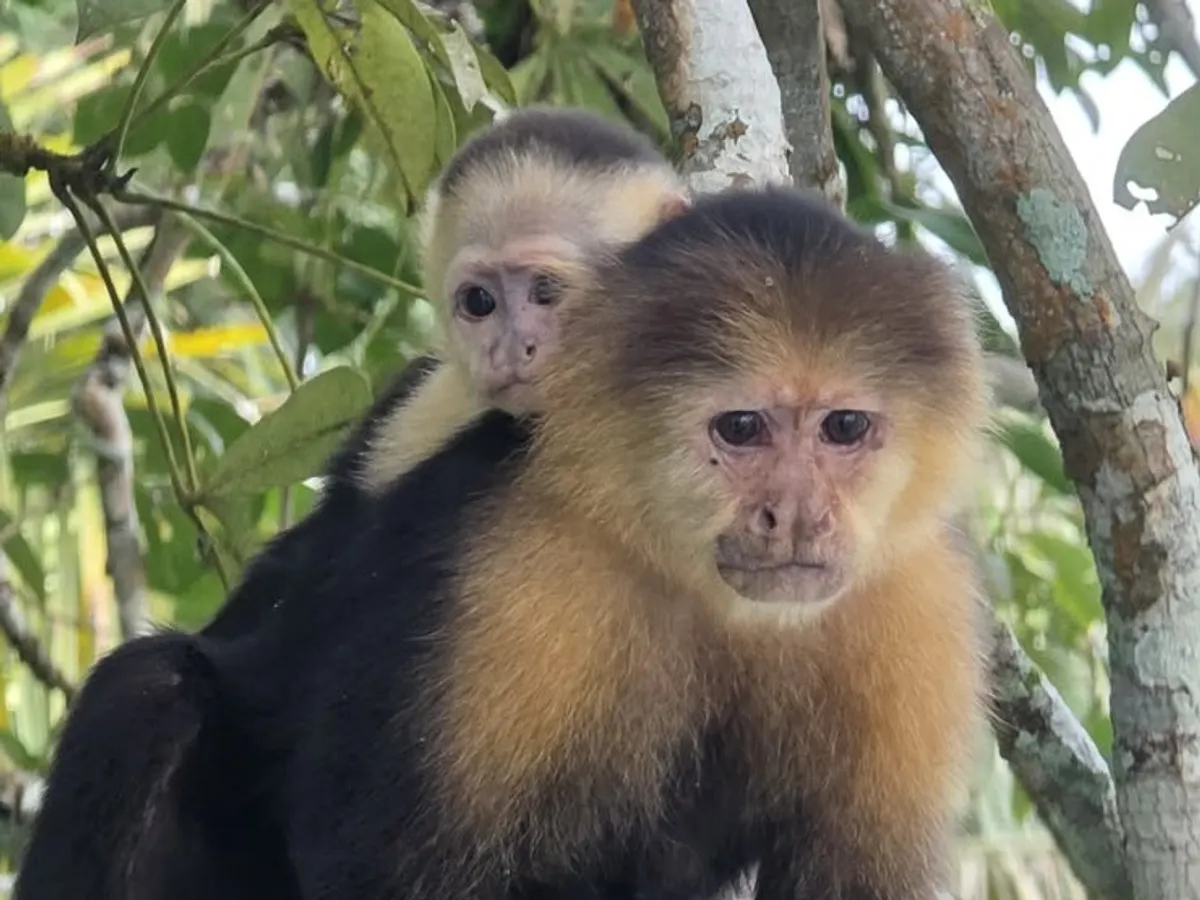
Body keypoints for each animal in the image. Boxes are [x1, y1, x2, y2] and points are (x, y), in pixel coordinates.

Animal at [12, 107, 689, 900]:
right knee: (152, 693)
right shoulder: (415, 400)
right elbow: (314, 570)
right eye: (480, 303)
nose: (510, 351)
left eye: (548, 293)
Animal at [241, 184, 992, 900]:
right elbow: (386, 868)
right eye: (741, 427)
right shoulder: (500, 563)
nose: (798, 515)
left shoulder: (923, 594)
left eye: (844, 427)